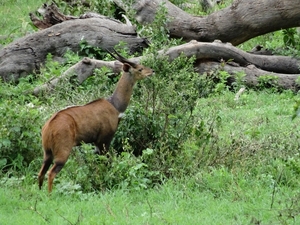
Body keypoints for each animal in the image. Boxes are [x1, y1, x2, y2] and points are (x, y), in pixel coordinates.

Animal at [37, 49, 154, 193]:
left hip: (47, 152)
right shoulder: (104, 140)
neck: (115, 105)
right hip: (63, 151)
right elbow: (106, 162)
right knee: (51, 173)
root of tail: (48, 127)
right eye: (140, 69)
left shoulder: (96, 143)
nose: (152, 71)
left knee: (41, 173)